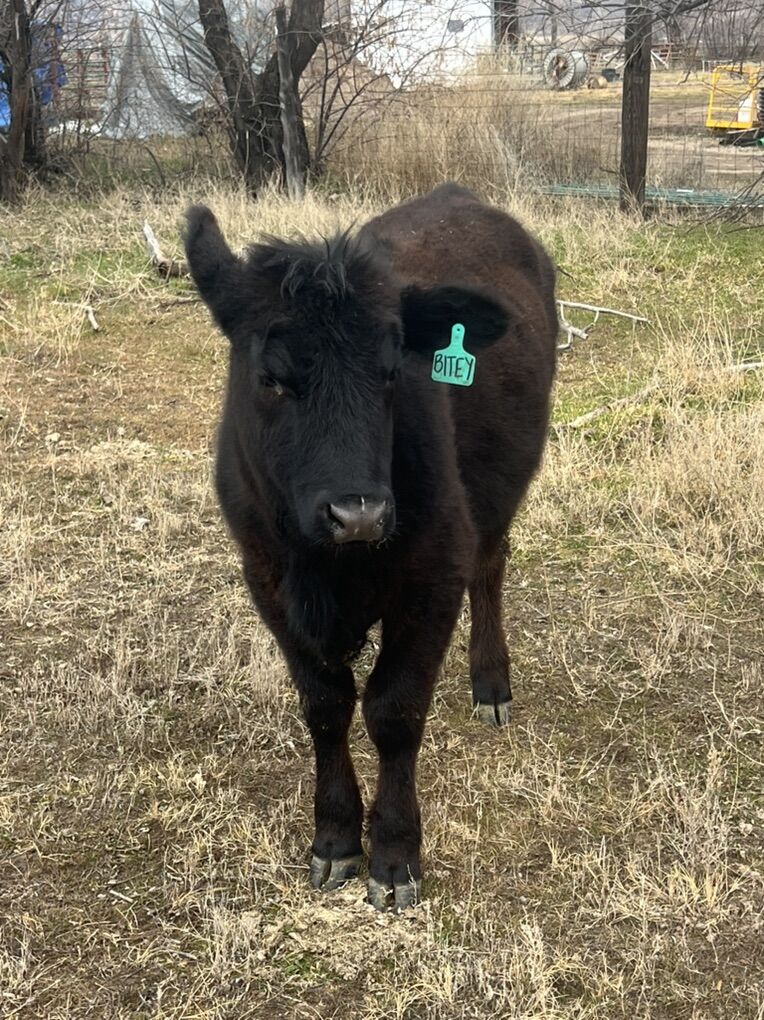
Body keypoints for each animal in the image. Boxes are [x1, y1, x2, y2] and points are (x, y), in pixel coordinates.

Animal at [184, 183, 557, 911]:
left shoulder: (434, 575)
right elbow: (326, 706)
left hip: (499, 492)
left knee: (491, 566)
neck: (330, 569)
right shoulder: (268, 581)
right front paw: (334, 838)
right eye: (271, 378)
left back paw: (490, 681)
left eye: (391, 371)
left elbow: (394, 710)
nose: (358, 513)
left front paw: (394, 853)